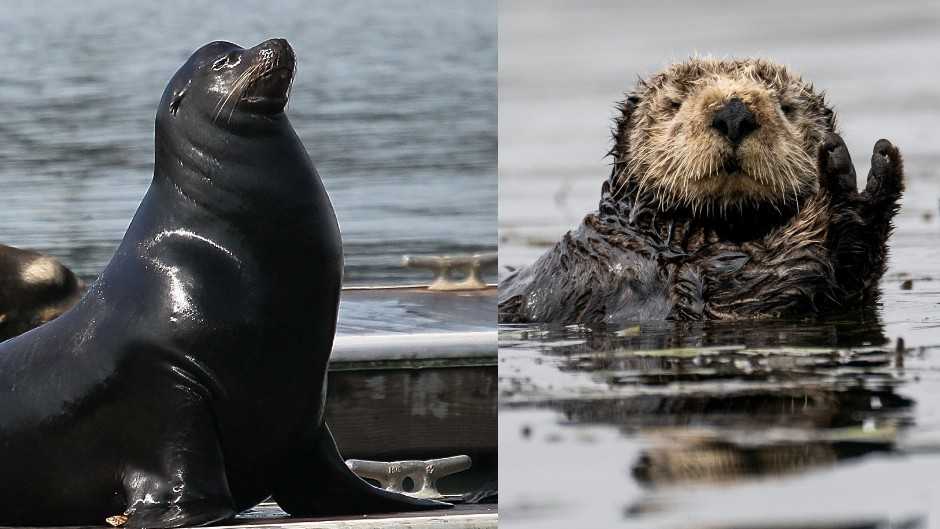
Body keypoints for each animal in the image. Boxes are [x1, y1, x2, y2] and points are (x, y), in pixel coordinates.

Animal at [499, 58, 904, 323]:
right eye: (674, 103)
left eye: (787, 107)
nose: (734, 113)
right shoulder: (638, 275)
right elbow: (745, 292)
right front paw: (841, 183)